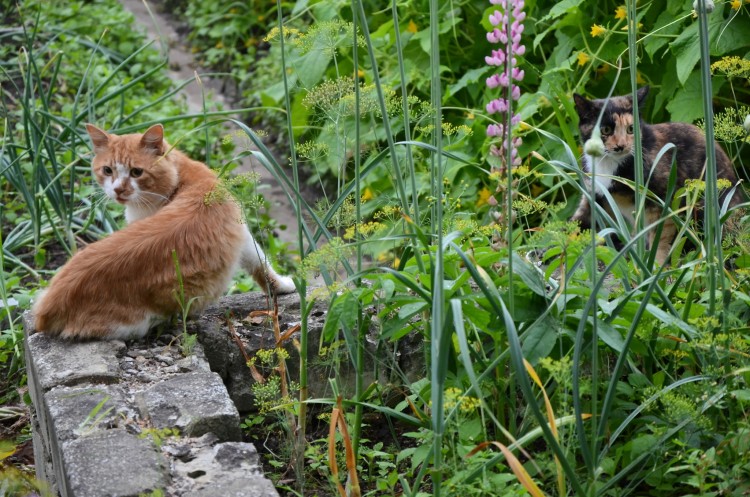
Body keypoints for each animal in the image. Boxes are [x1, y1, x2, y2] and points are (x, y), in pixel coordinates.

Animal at [33, 124, 296, 340]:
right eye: (107, 170)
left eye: (136, 172)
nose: (118, 190)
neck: (181, 179)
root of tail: (48, 306)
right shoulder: (241, 233)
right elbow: (261, 263)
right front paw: (282, 287)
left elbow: (260, 263)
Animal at [572, 86, 744, 264]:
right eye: (606, 130)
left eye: (630, 129)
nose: (621, 146)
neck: (609, 164)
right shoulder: (595, 194)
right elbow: (578, 222)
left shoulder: (662, 199)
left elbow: (660, 238)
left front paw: (655, 266)